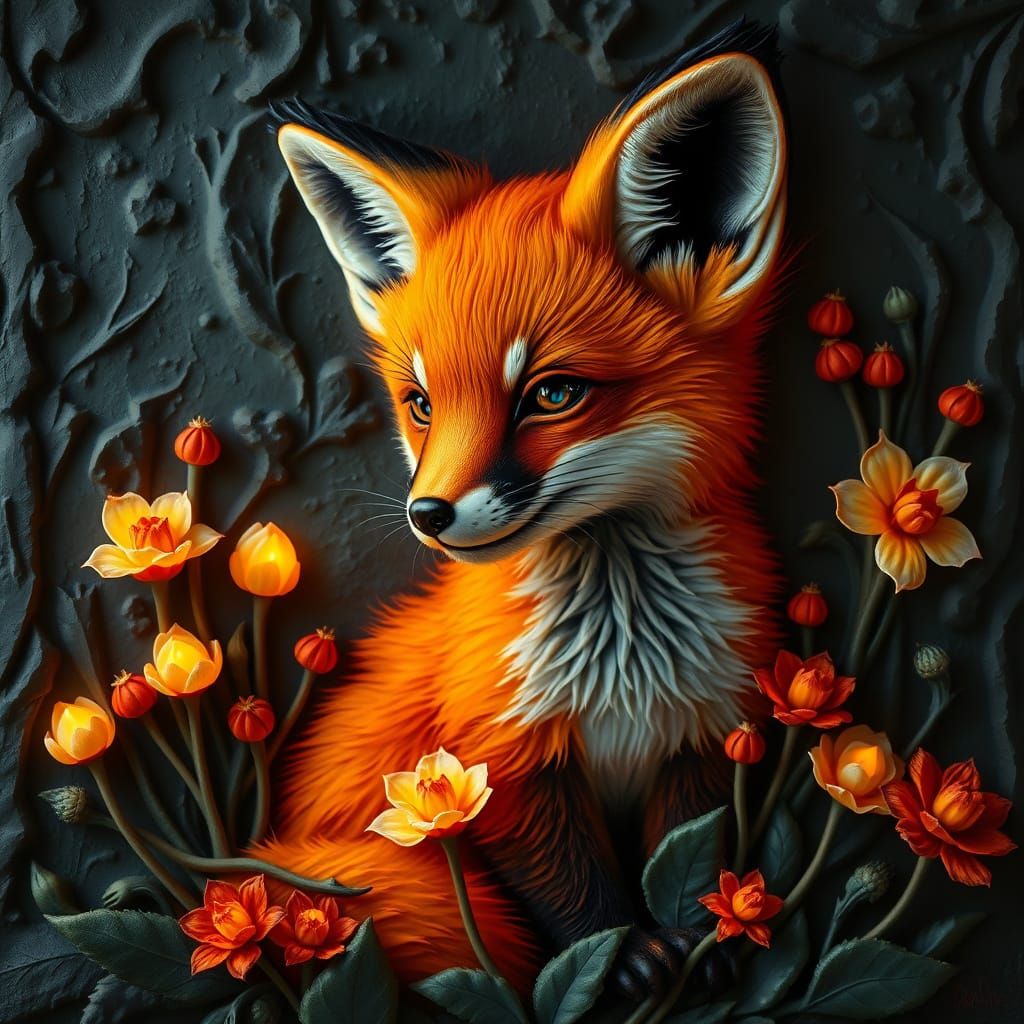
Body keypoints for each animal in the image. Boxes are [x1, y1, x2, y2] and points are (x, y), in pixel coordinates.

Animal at [258, 19, 787, 1001]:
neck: (624, 660)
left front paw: (710, 935)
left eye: (552, 394)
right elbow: (573, 895)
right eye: (421, 405)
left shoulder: (707, 734)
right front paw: (622, 959)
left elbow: (689, 860)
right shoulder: (496, 762)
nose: (428, 513)